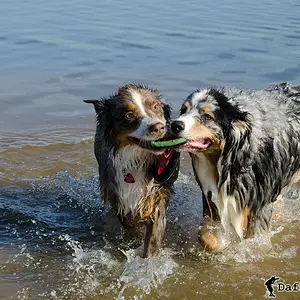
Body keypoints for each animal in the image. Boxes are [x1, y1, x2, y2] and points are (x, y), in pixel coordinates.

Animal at [83, 84, 179, 258]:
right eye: (129, 115)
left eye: (155, 107)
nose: (159, 127)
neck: (137, 159)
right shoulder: (116, 191)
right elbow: (129, 221)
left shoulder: (159, 195)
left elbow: (153, 236)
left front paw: (148, 259)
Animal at [170, 83, 300, 252]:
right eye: (183, 110)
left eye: (207, 117)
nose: (174, 125)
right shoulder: (211, 197)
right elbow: (206, 238)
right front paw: (221, 244)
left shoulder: (260, 206)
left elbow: (254, 240)